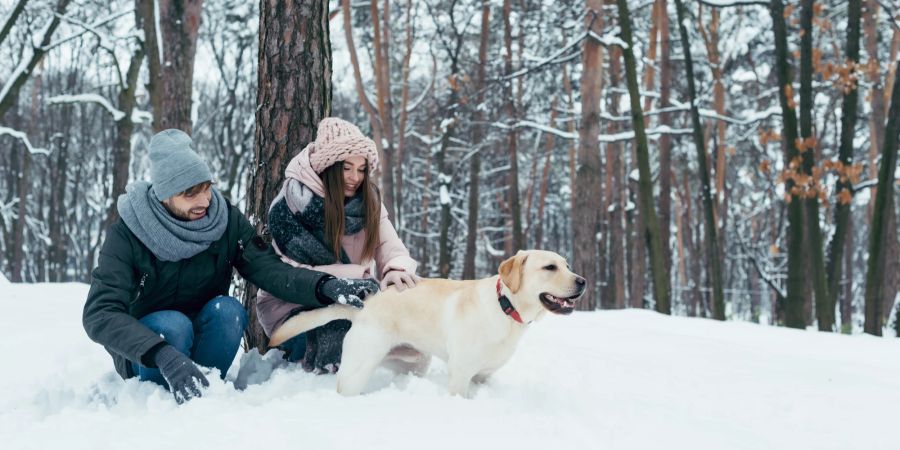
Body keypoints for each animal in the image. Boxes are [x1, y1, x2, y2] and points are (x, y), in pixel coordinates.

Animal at [268, 250, 588, 398]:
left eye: (567, 265)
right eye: (550, 267)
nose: (583, 281)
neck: (505, 308)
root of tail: (367, 304)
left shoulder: (483, 376)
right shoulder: (460, 375)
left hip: (414, 362)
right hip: (358, 367)